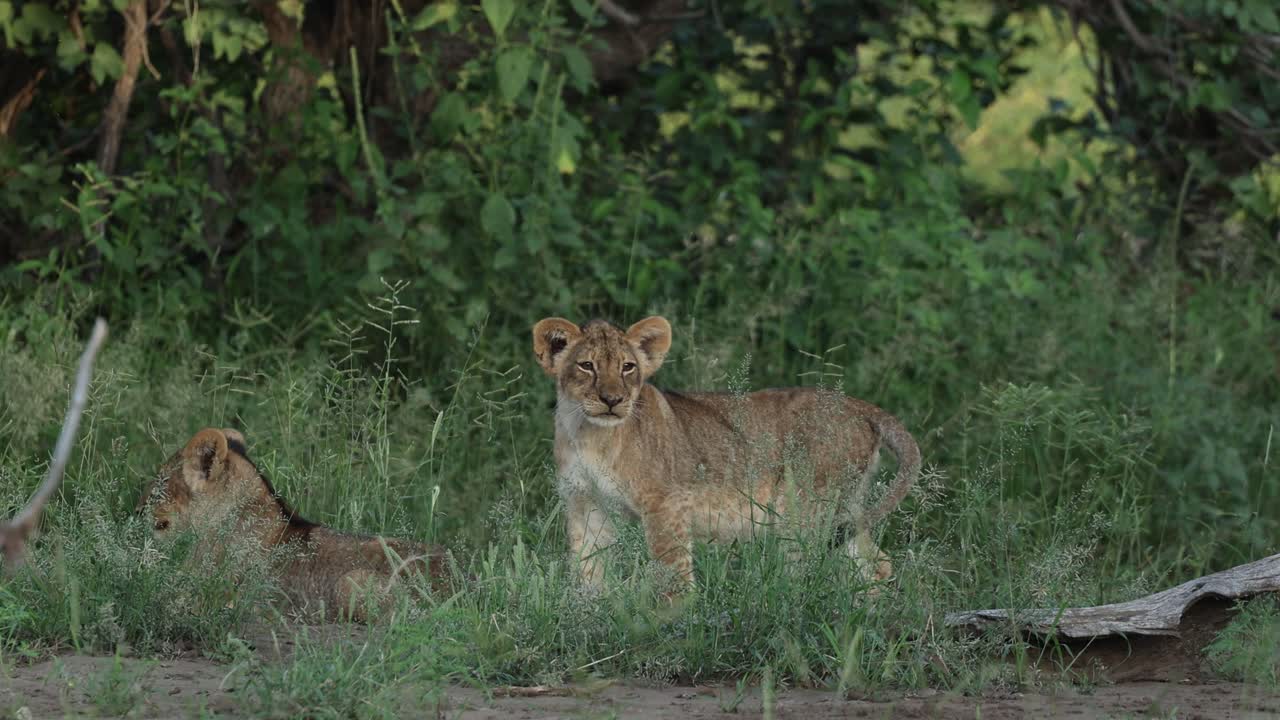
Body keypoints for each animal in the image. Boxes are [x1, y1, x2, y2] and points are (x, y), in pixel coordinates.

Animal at [532, 315, 921, 593]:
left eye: (628, 367)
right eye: (587, 366)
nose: (613, 400)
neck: (588, 435)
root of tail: (857, 405)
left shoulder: (665, 504)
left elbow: (672, 575)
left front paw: (672, 626)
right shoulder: (585, 503)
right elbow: (587, 571)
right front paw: (587, 618)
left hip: (803, 511)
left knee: (816, 569)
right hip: (844, 510)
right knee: (875, 564)